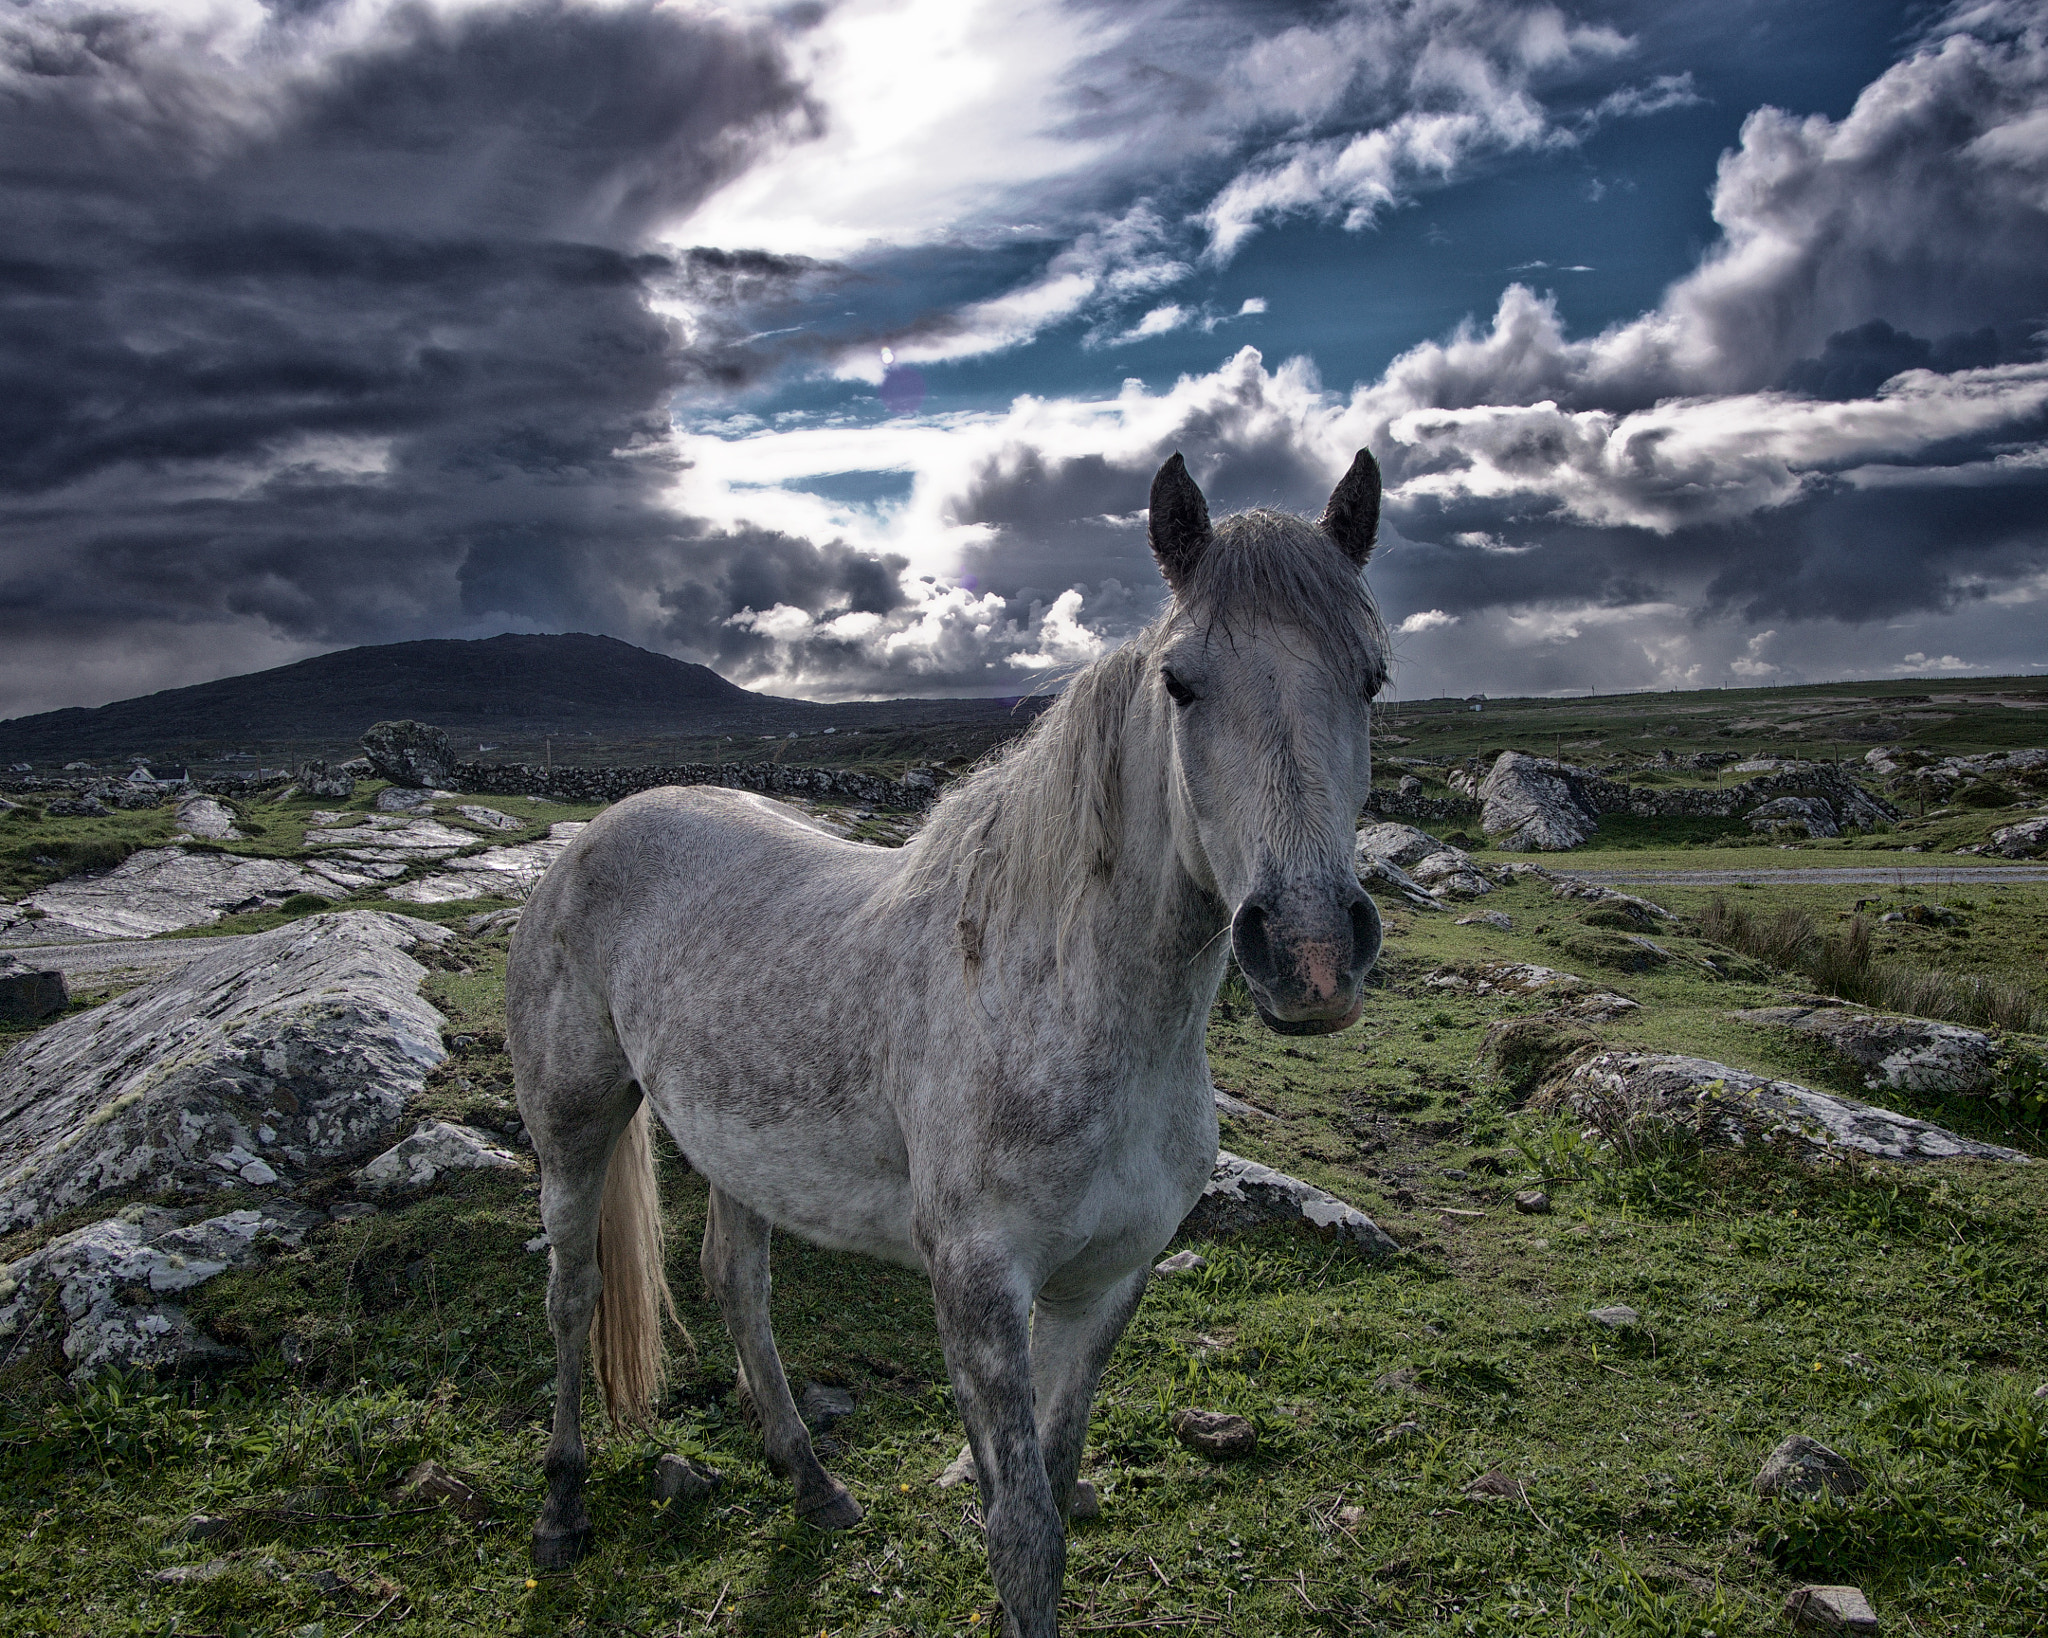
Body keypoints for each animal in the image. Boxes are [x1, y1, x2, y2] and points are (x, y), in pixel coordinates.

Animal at [509, 448, 1392, 1637]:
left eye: (1370, 679)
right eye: (1181, 683)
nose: (1309, 954)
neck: (1067, 1006)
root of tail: (595, 833)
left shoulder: (1105, 1286)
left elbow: (1055, 1491)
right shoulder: (977, 1286)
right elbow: (1019, 1532)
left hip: (738, 1145)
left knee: (735, 1283)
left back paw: (810, 1480)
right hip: (573, 1119)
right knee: (572, 1293)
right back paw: (561, 1509)